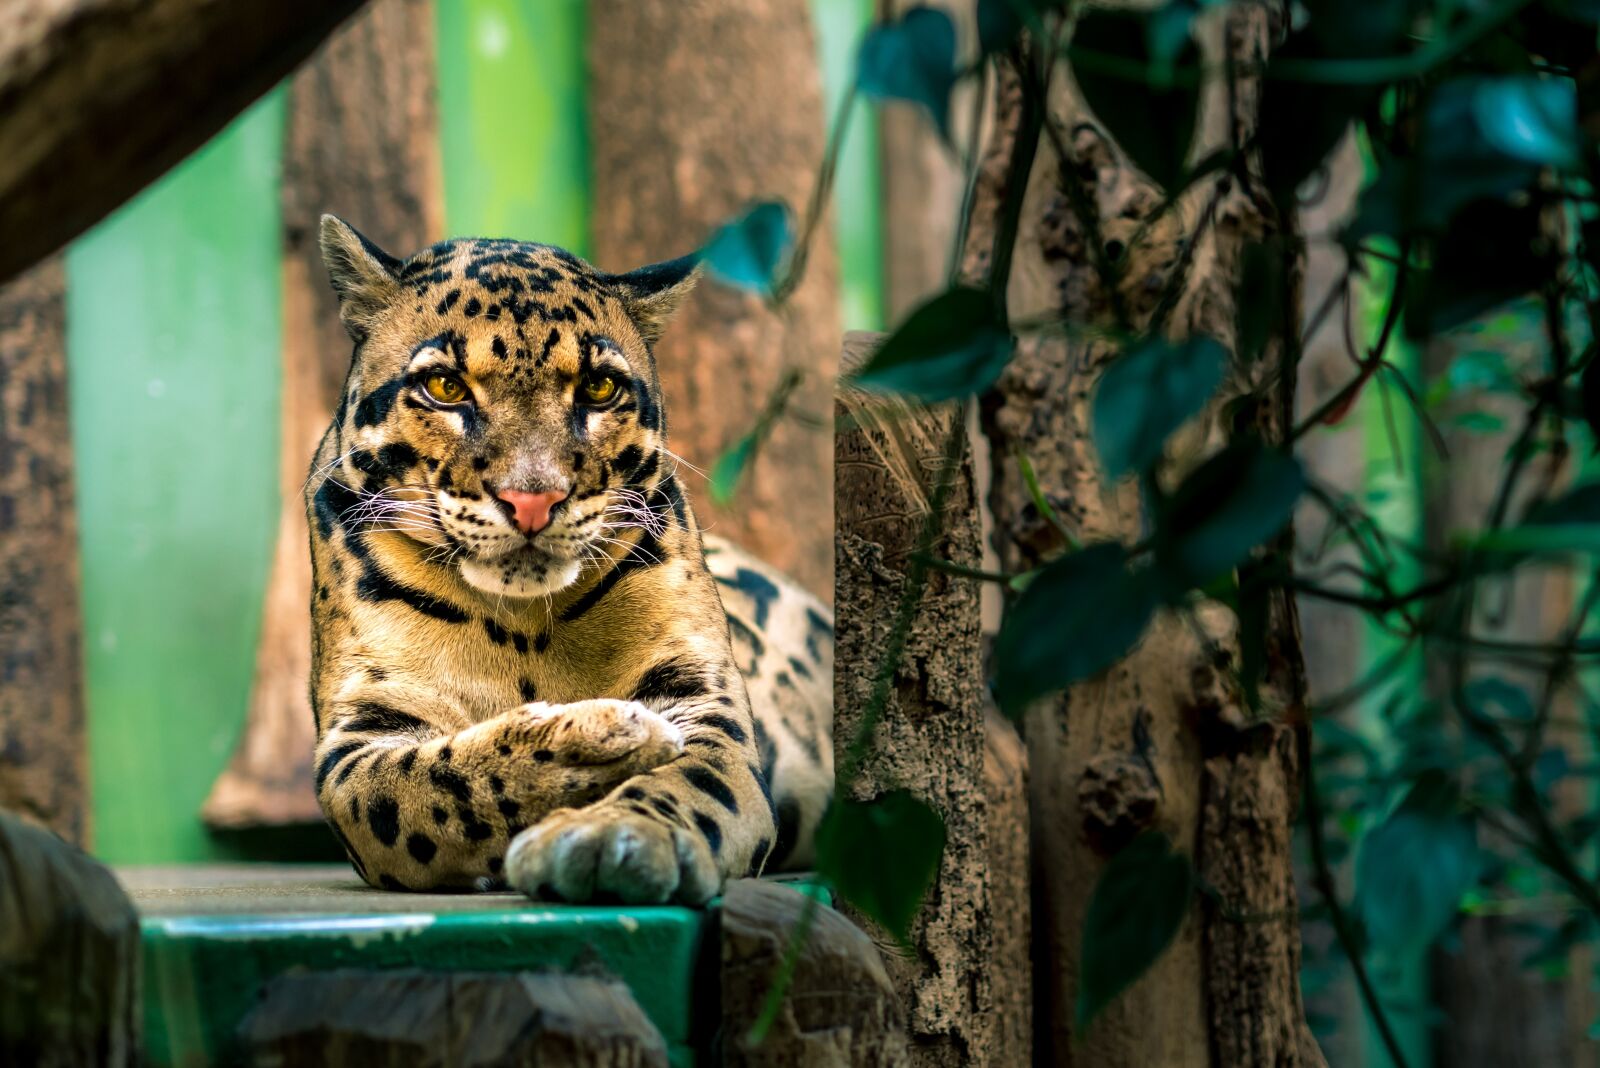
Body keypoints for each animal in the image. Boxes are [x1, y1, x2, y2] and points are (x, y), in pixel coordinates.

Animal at [304, 217, 832, 901]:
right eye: (445, 387)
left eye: (599, 389)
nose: (533, 499)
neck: (523, 626)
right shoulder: (360, 736)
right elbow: (441, 783)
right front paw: (600, 740)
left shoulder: (700, 698)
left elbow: (692, 780)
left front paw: (615, 836)